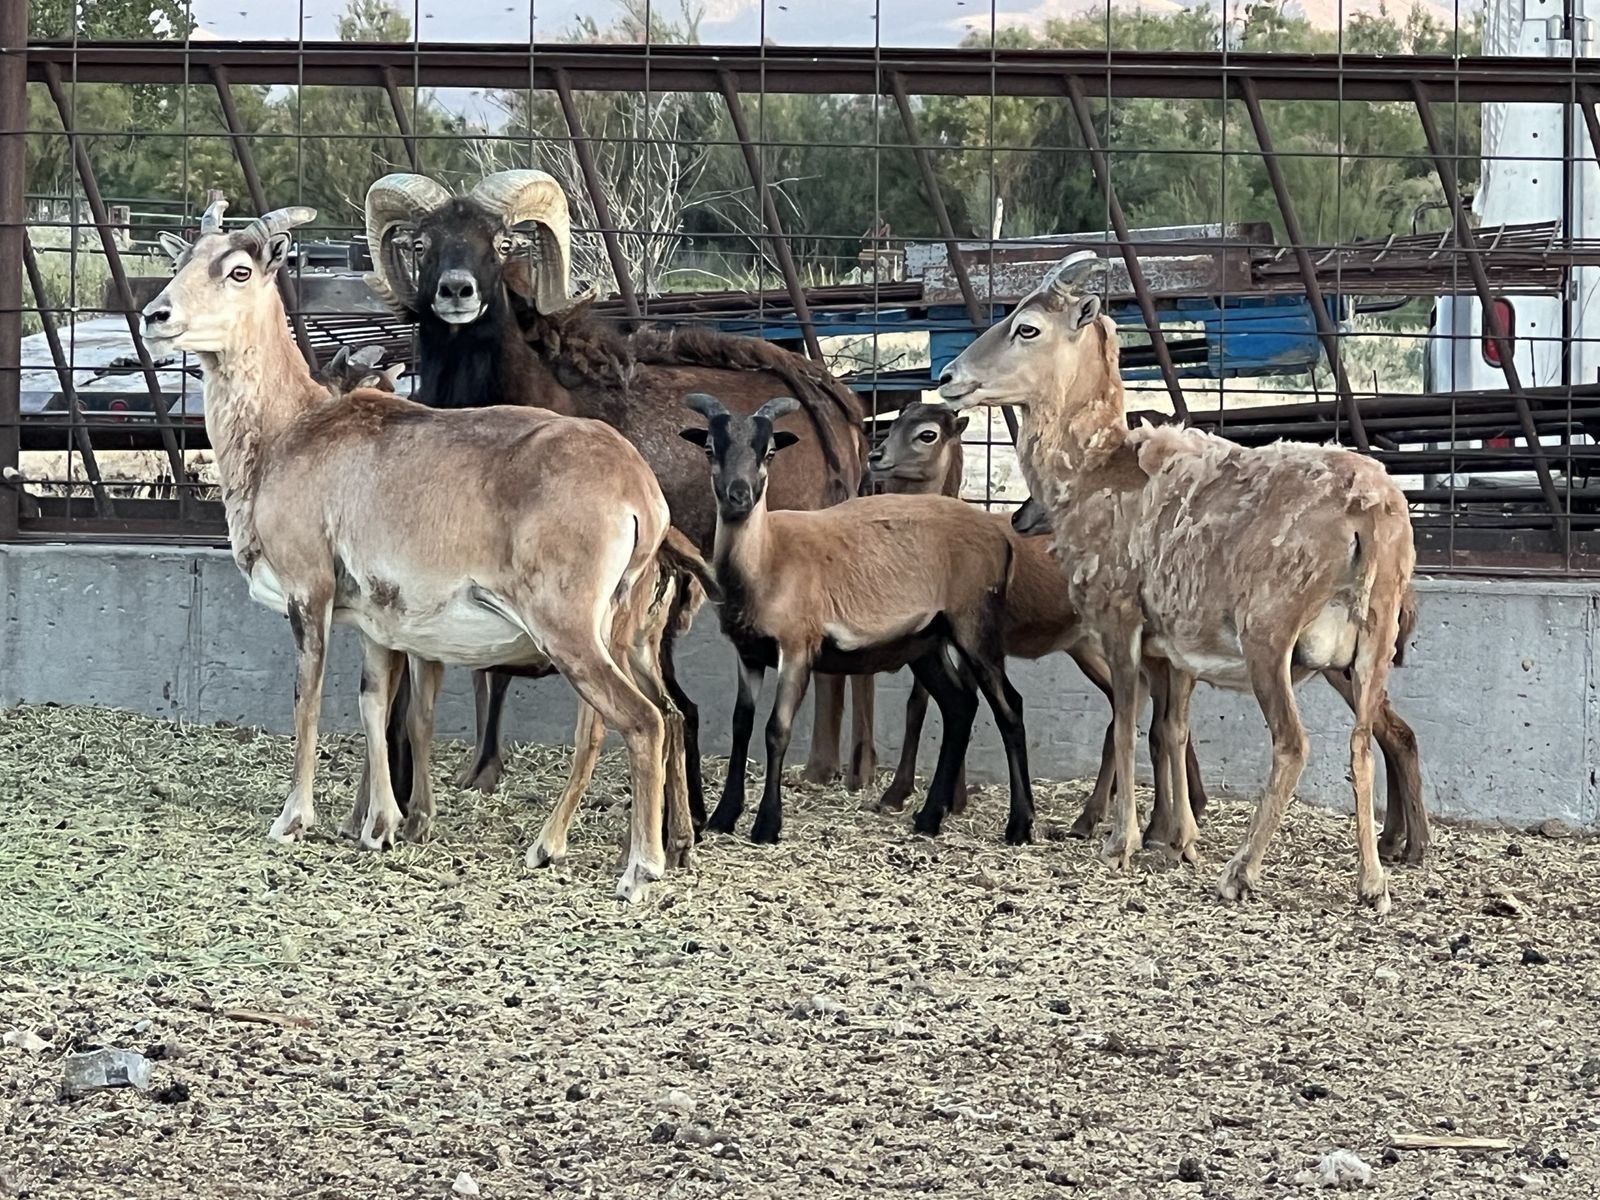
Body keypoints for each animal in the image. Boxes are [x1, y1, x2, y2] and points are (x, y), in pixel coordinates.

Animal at [140, 201, 714, 901]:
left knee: (642, 721)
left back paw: (637, 870)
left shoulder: (310, 595)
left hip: (571, 633)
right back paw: (592, 849)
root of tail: (639, 492)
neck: (288, 435)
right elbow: (376, 706)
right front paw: (381, 827)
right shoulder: (377, 624)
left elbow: (308, 699)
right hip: (622, 632)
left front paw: (293, 820)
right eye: (183, 261)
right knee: (649, 717)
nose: (156, 317)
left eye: (239, 270)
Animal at [679, 391, 1035, 846]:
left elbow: (776, 730)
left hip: (975, 627)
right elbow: (742, 724)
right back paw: (928, 818)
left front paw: (767, 825)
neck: (767, 557)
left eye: (769, 451)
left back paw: (1020, 825)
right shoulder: (748, 652)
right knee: (960, 707)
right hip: (926, 640)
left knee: (1010, 709)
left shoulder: (798, 648)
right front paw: (723, 817)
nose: (738, 496)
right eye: (710, 448)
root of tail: (1000, 537)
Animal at [867, 401, 1209, 840]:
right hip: (1084, 645)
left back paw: (1145, 820)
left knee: (1152, 711)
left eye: (927, 434)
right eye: (895, 422)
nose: (877, 456)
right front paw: (931, 797)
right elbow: (921, 703)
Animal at [938, 250, 1428, 910]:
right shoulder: (1172, 649)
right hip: (1370, 642)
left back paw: (1242, 873)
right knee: (1363, 741)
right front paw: (1181, 843)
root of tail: (1370, 513)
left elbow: (1124, 726)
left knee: (1295, 743)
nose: (949, 376)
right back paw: (1373, 882)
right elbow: (1170, 730)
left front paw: (1119, 844)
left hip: (1270, 637)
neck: (1093, 472)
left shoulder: (1120, 620)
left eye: (1027, 328)